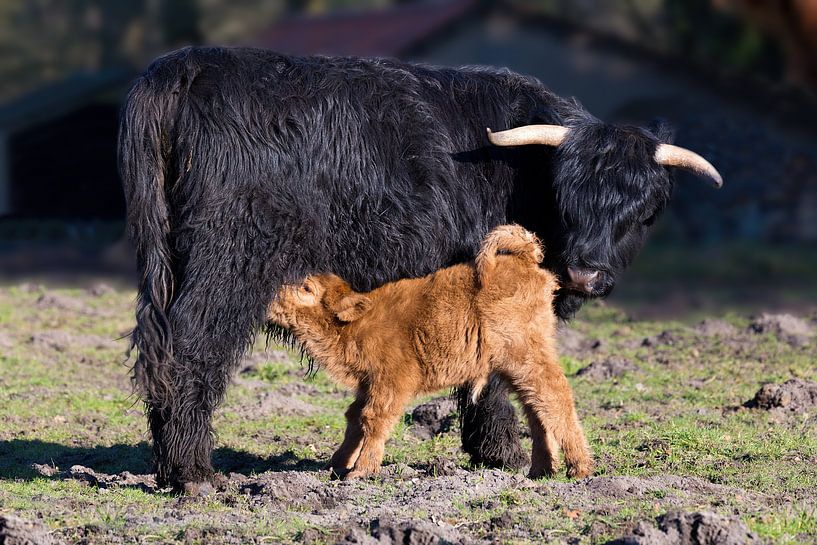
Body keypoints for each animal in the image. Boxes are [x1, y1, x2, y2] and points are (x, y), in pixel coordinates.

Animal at [118, 46, 722, 493]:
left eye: (644, 210)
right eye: (568, 196)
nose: (585, 275)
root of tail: (188, 64)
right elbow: (491, 378)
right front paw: (499, 453)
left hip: (168, 264)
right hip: (230, 261)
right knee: (193, 344)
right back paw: (193, 473)